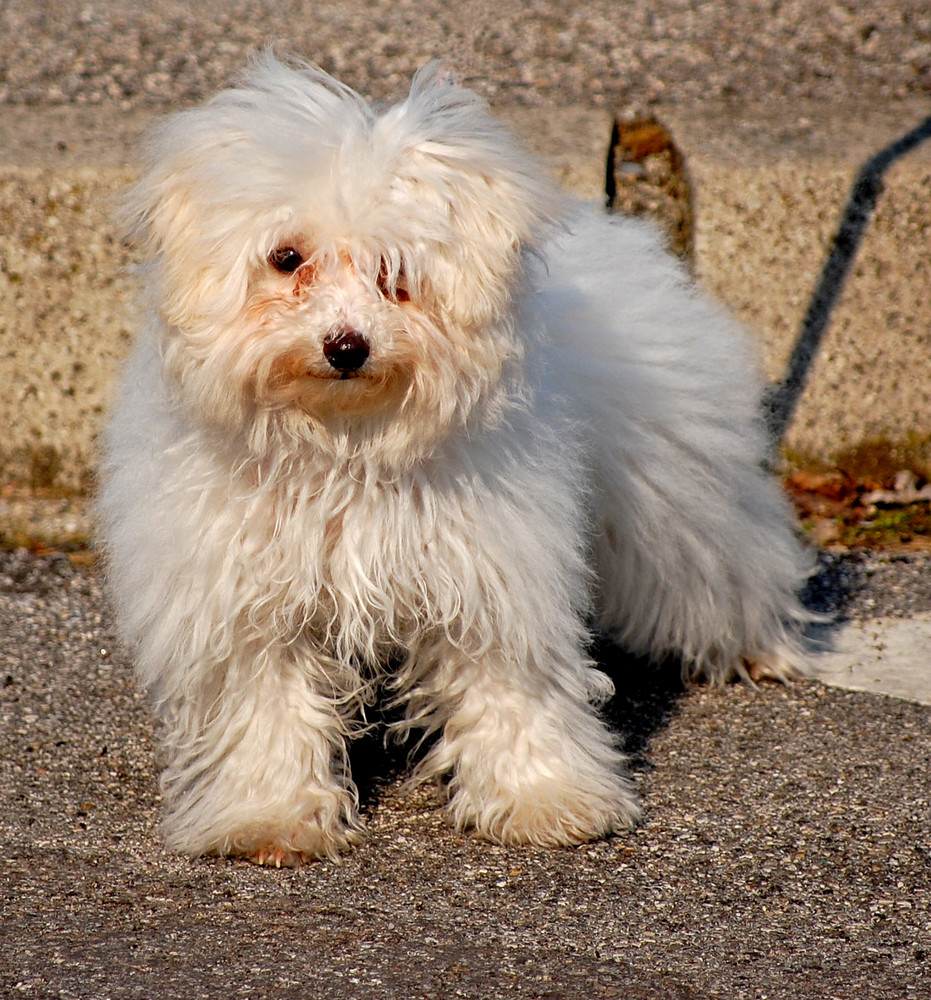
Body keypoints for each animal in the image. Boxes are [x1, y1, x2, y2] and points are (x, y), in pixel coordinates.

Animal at [93, 56, 808, 868]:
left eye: (393, 271)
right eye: (286, 258)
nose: (347, 346)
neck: (348, 442)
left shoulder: (493, 572)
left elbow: (510, 689)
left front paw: (543, 798)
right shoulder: (247, 602)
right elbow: (265, 709)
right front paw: (268, 814)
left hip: (676, 490)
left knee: (721, 565)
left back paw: (763, 646)